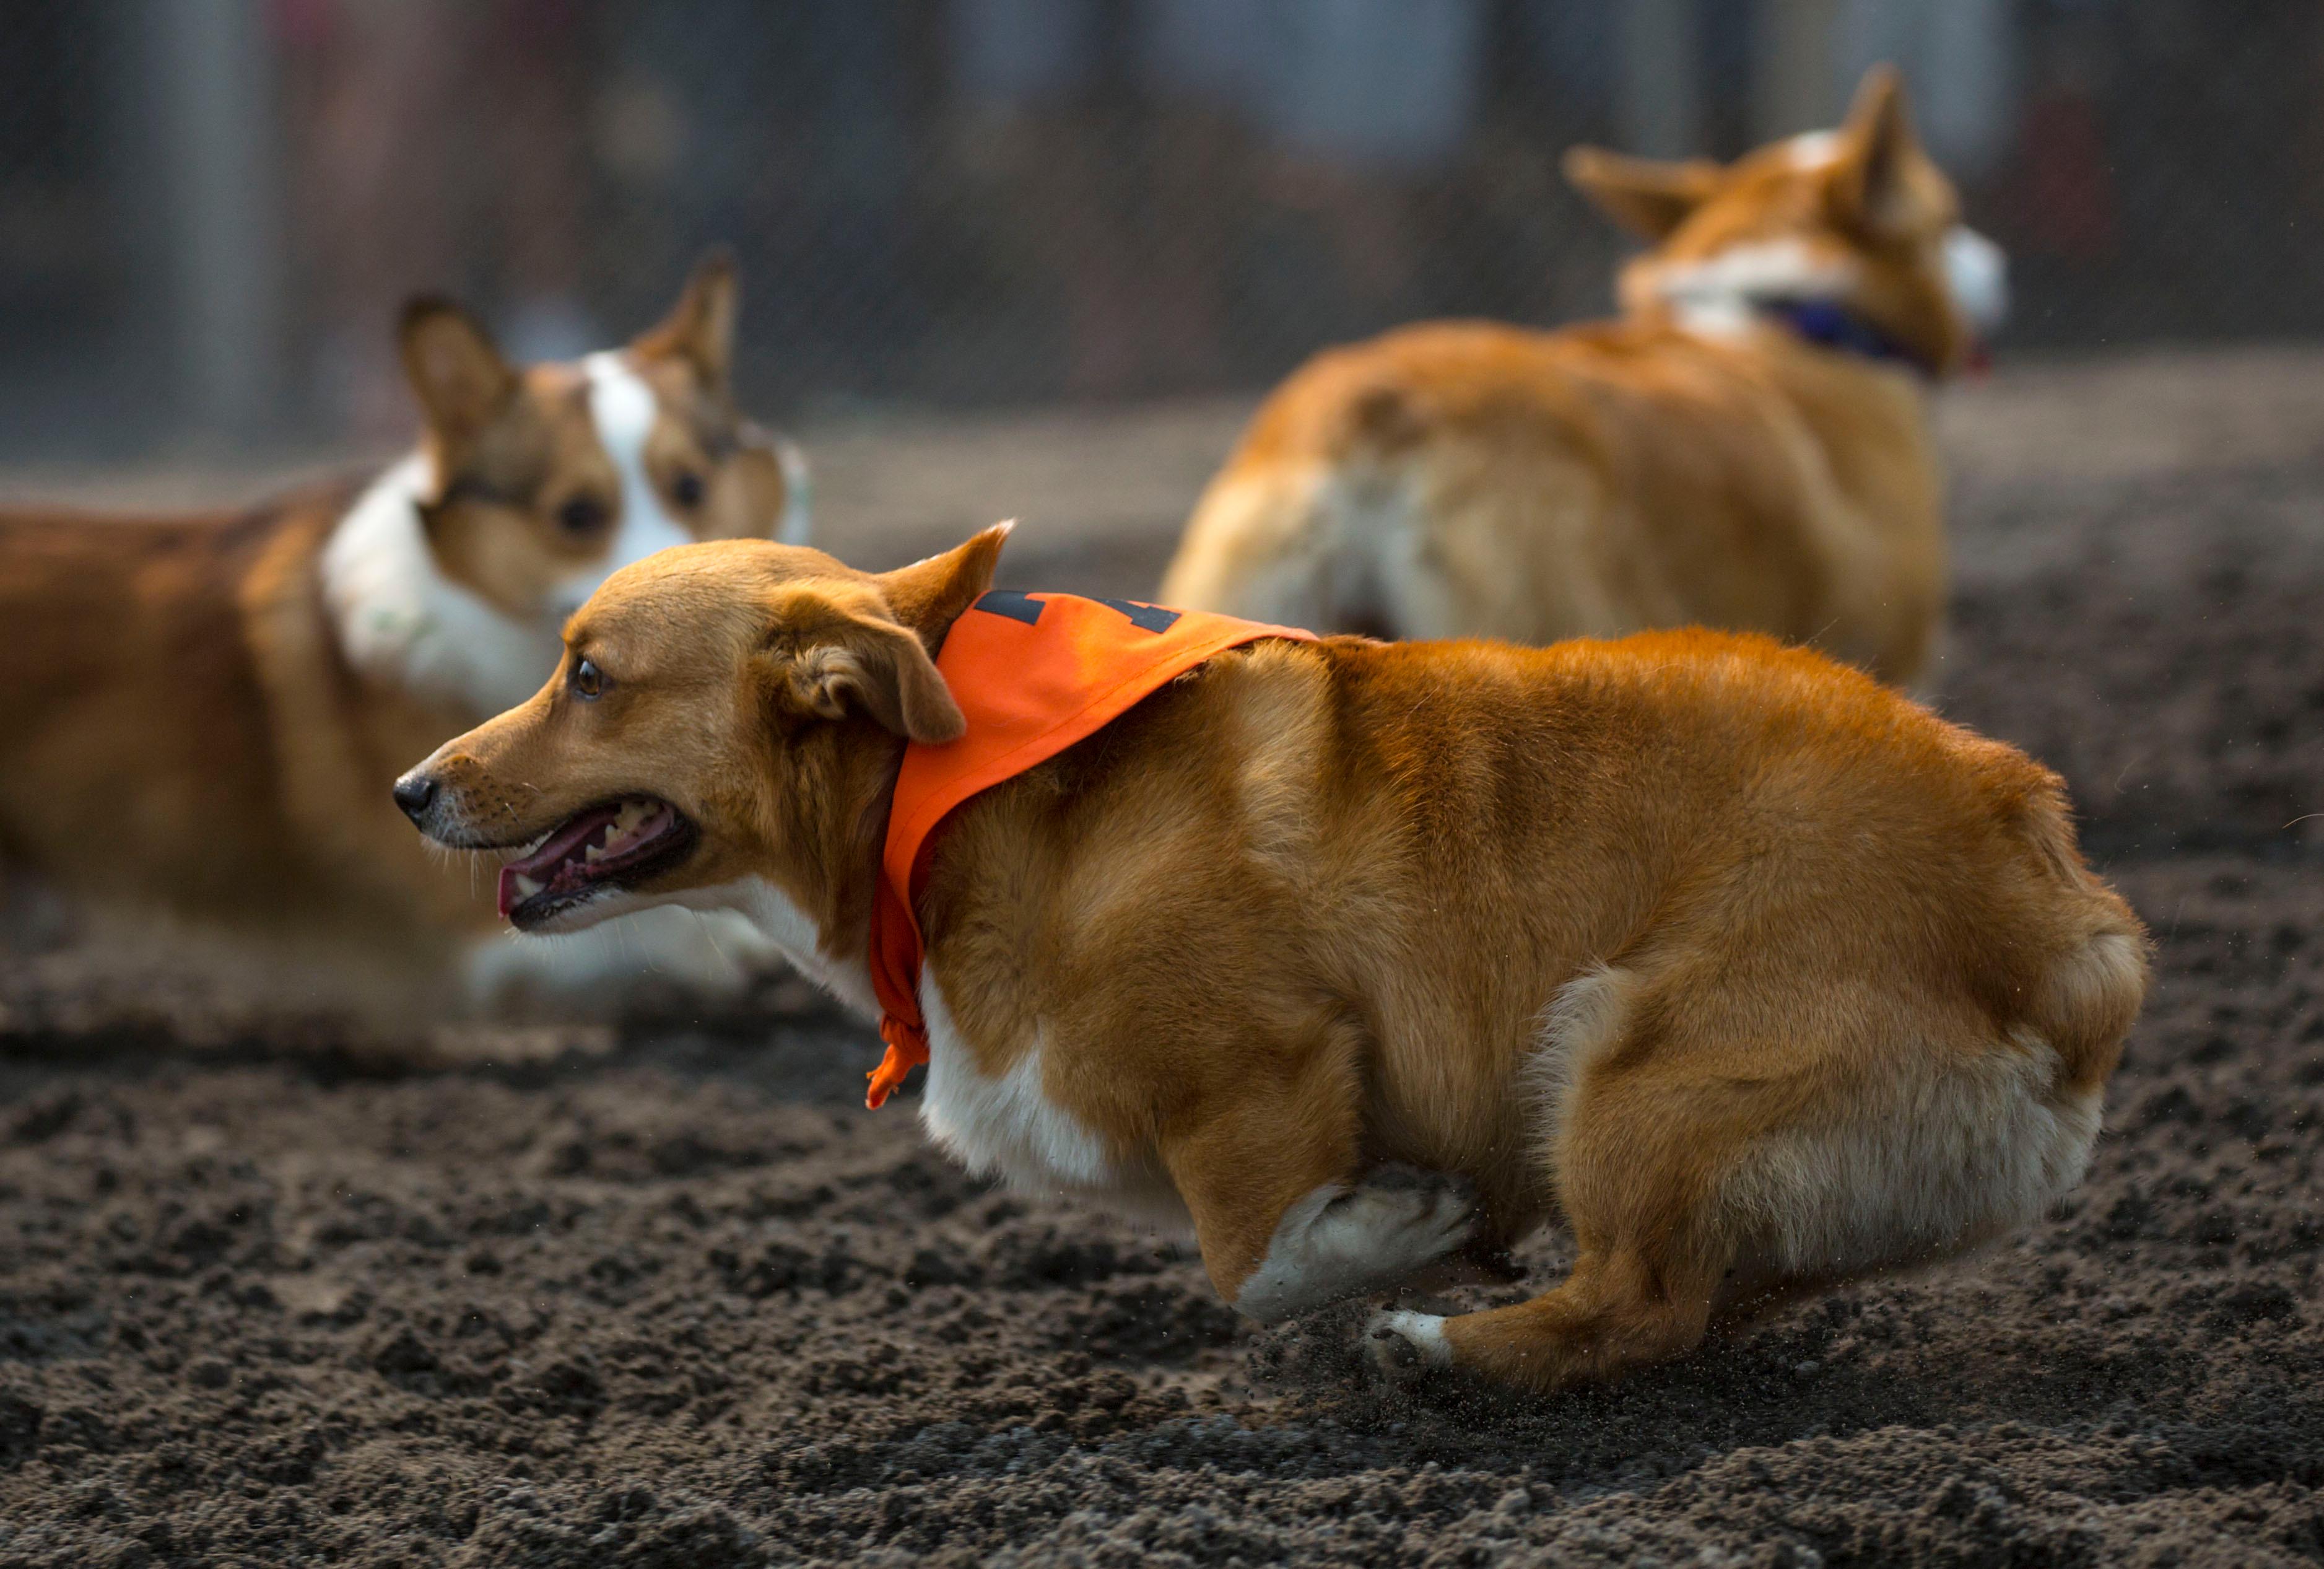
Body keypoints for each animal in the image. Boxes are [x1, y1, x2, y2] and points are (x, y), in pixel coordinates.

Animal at [395, 535, 2138, 1394]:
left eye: (587, 675)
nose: (412, 788)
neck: (934, 796)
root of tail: (2072, 924)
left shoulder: (1257, 1068)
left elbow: (1256, 1261)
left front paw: (1397, 1240)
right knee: (1705, 1303)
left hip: (1625, 1060)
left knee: (1638, 1304)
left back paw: (1442, 1353)